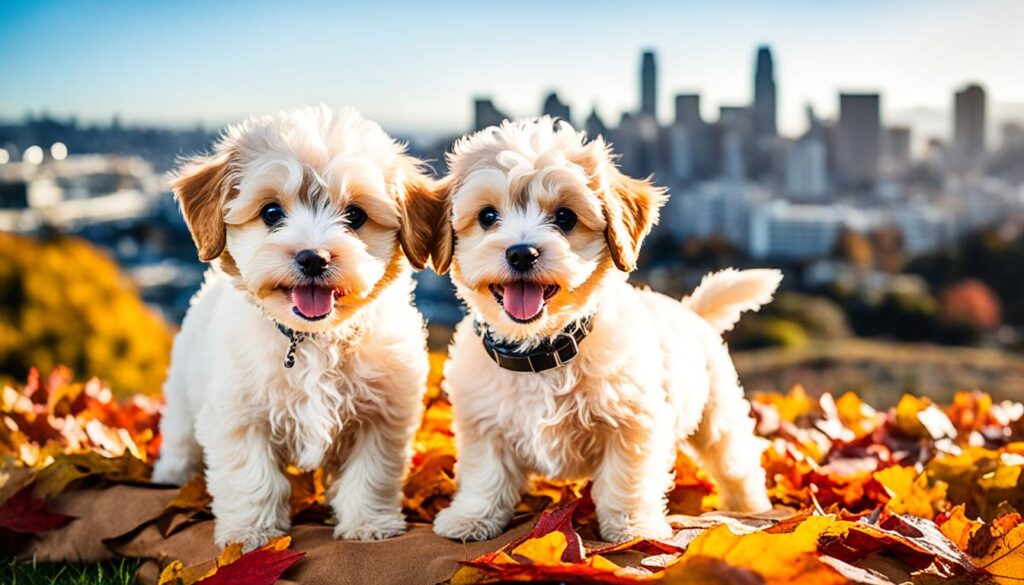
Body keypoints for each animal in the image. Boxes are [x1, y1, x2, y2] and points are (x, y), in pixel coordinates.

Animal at [151, 105, 444, 549]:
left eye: (355, 215)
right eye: (272, 213)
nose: (313, 258)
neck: (312, 341)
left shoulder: (382, 415)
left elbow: (370, 473)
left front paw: (368, 525)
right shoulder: (239, 415)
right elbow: (252, 478)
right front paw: (251, 535)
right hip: (185, 391)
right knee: (180, 432)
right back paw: (170, 474)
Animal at [430, 117, 774, 545]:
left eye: (564, 217)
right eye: (488, 216)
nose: (522, 253)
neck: (542, 350)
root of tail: (690, 312)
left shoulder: (634, 421)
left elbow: (625, 478)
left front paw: (631, 527)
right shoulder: (481, 423)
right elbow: (485, 474)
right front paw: (472, 517)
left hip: (717, 413)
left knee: (735, 462)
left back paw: (751, 508)